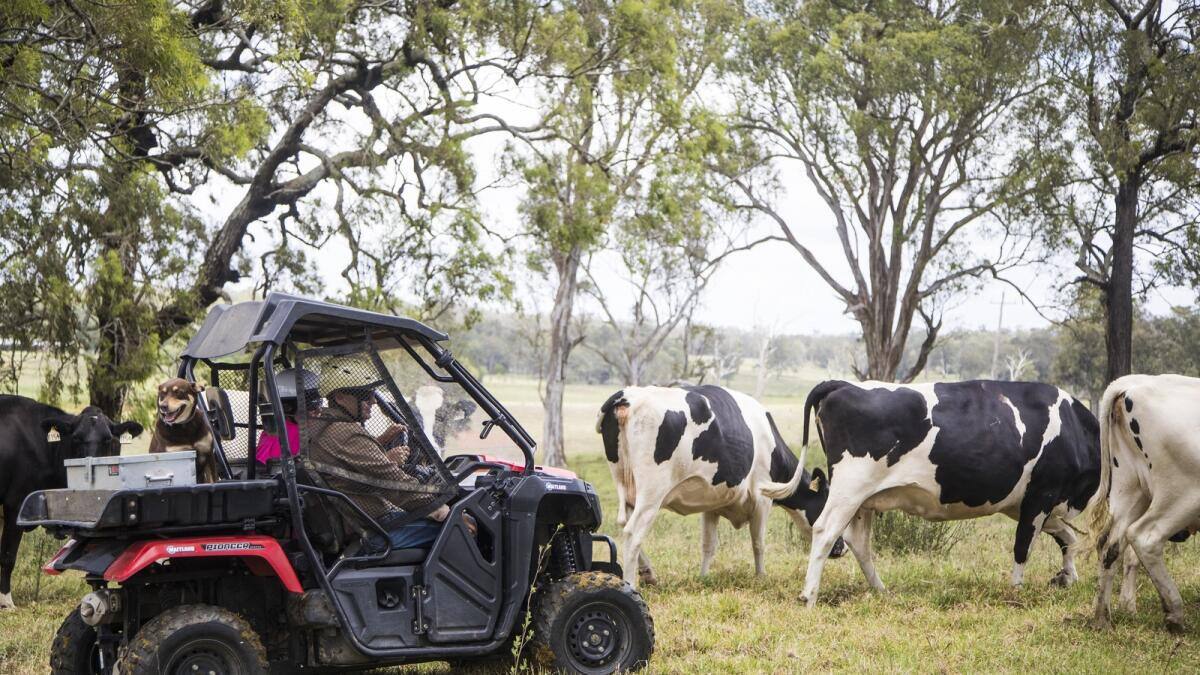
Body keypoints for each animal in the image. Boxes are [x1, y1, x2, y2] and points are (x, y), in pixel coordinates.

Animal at [592, 384, 840, 588]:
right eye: (826, 503)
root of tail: (626, 396)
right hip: (651, 494)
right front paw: (761, 577)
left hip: (626, 486)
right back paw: (631, 584)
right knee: (632, 532)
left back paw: (649, 573)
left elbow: (708, 545)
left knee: (623, 523)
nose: (841, 549)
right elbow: (758, 542)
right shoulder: (762, 499)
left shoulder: (712, 504)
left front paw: (703, 577)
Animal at [772, 379, 1099, 605]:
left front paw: (1067, 576)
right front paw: (1017, 591)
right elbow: (1024, 545)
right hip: (849, 489)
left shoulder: (1025, 503)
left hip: (863, 500)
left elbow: (1066, 537)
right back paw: (809, 596)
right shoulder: (1042, 493)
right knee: (825, 531)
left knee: (859, 543)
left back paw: (881, 591)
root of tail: (844, 384)